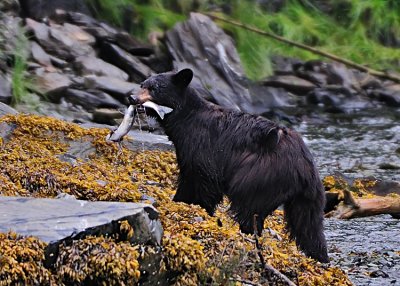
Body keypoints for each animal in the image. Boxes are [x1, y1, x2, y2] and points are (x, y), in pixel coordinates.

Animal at [131, 68, 328, 262]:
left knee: (249, 209)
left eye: (155, 88)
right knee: (309, 226)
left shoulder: (202, 144)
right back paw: (319, 256)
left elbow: (199, 180)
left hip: (261, 176)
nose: (132, 98)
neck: (186, 118)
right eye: (142, 84)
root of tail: (303, 166)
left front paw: (188, 204)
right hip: (308, 197)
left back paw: (248, 235)